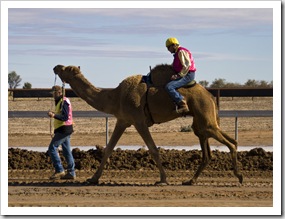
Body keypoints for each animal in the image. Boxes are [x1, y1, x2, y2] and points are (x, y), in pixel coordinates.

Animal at [52, 64, 242, 186]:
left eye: (66, 69)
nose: (55, 66)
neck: (115, 97)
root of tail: (210, 96)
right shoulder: (123, 120)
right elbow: (108, 149)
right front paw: (93, 178)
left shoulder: (139, 121)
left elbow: (153, 149)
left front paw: (163, 180)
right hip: (201, 124)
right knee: (210, 150)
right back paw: (191, 180)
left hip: (206, 118)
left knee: (231, 143)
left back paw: (239, 176)